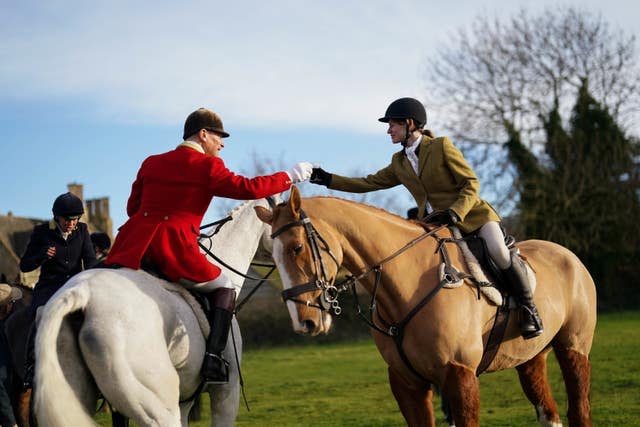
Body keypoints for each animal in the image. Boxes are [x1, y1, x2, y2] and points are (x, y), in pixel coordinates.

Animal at [258, 189, 596, 427]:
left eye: (297, 248)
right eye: (272, 256)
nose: (305, 322)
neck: (405, 288)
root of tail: (568, 254)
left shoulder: (460, 378)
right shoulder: (408, 383)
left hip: (573, 349)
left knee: (579, 409)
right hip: (531, 358)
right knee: (549, 411)